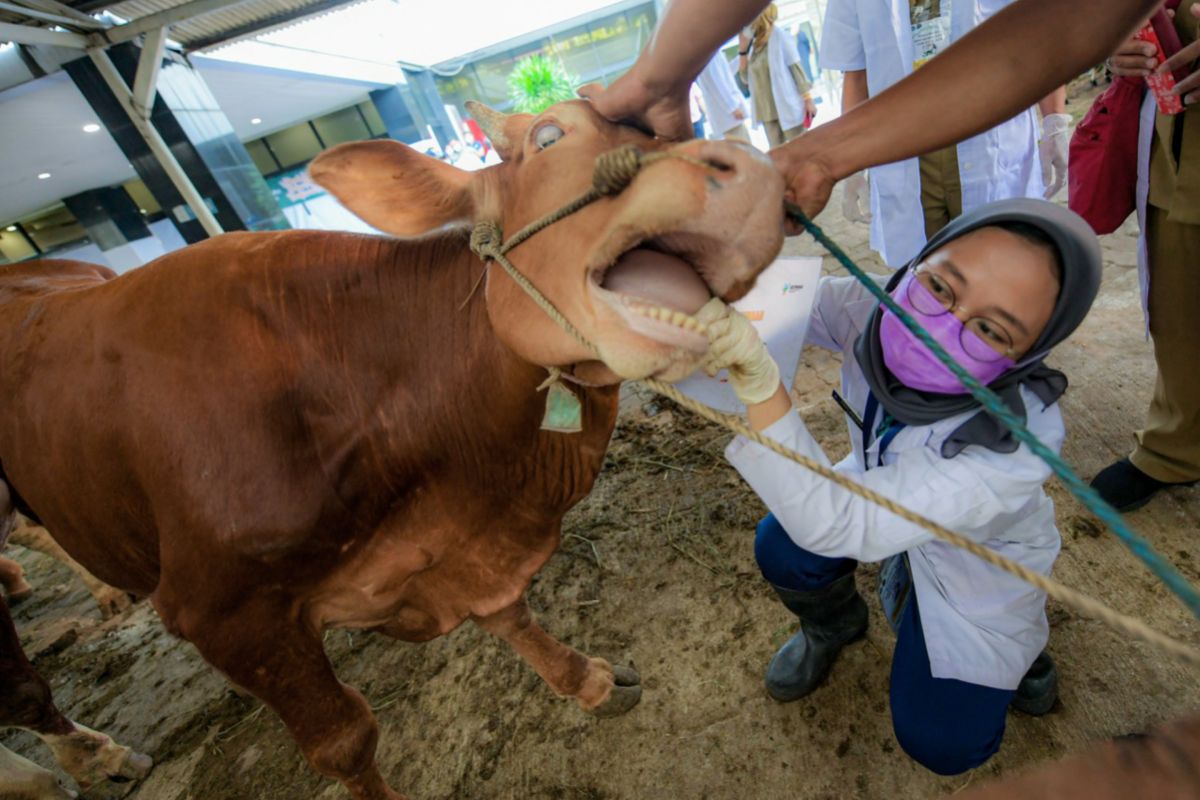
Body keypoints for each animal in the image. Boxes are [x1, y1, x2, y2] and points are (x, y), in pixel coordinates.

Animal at [0, 101, 787, 800]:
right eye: (549, 134)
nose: (747, 167)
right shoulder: (222, 613)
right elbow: (344, 742)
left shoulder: (460, 544)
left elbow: (507, 612)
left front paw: (584, 679)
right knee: (24, 685)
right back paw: (86, 753)